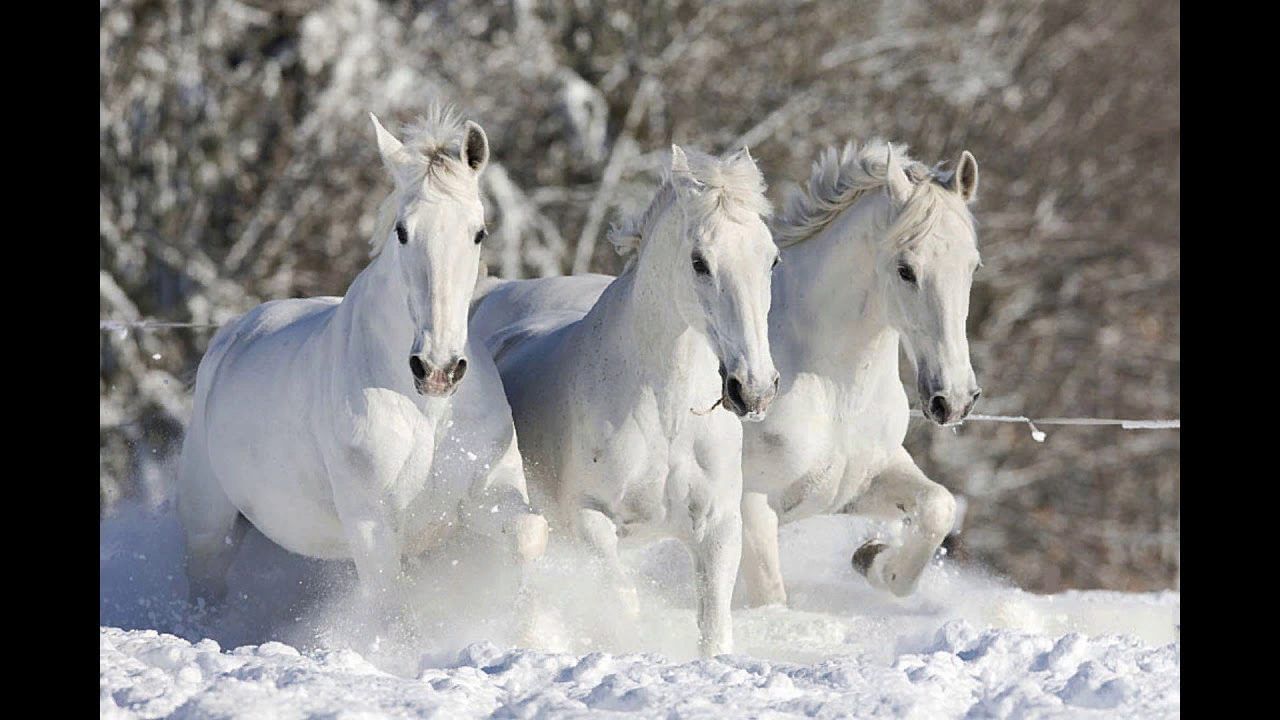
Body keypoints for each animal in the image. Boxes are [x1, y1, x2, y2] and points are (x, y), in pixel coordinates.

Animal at [175, 107, 545, 617]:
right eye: (402, 231)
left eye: (479, 232)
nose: (437, 370)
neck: (429, 412)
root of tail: (232, 335)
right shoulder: (373, 527)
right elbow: (392, 610)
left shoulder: (485, 496)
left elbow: (530, 533)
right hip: (209, 528)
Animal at [737, 137, 983, 602]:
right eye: (905, 270)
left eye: (973, 266)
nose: (955, 401)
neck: (835, 390)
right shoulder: (750, 503)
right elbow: (770, 596)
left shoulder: (863, 482)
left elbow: (938, 507)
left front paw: (872, 558)